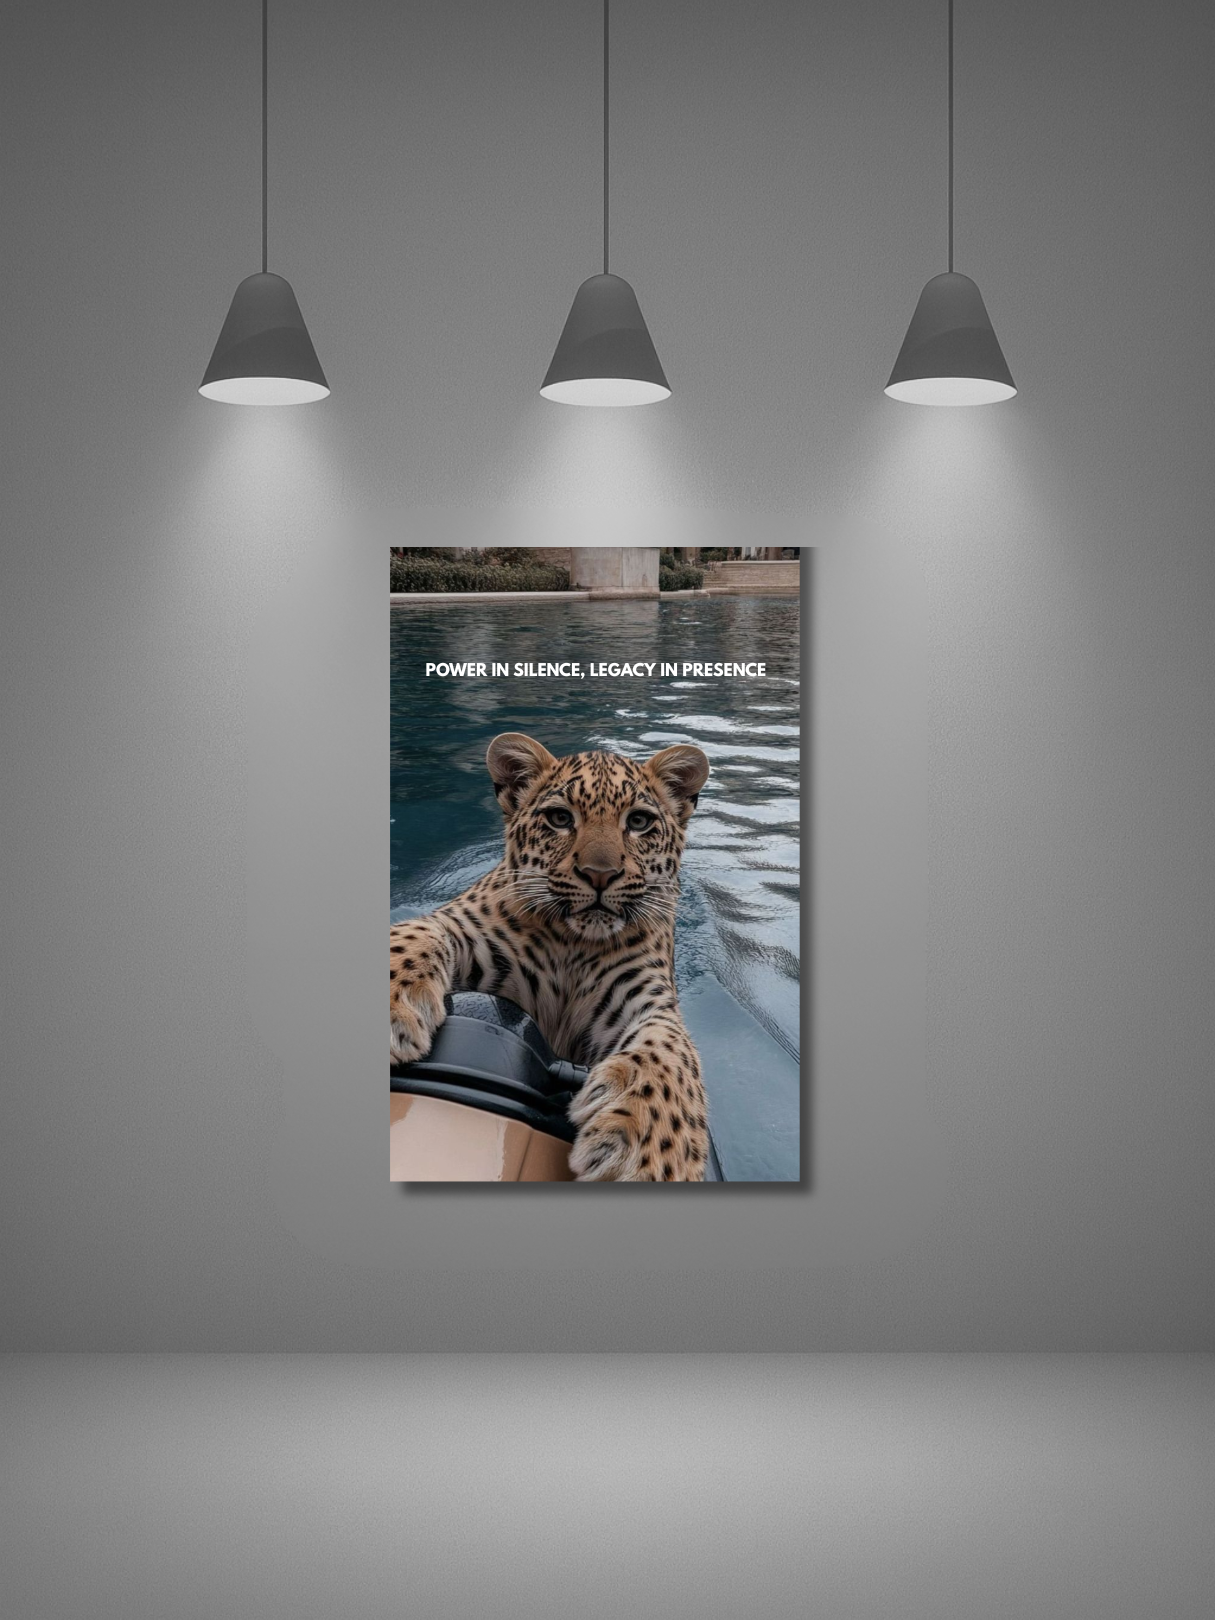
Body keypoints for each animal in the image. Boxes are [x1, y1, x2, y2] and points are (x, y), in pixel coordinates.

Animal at [390, 732, 712, 1181]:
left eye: (638, 822)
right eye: (560, 818)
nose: (600, 874)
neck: (574, 945)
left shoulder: (646, 995)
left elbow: (672, 1050)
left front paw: (650, 1152)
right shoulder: (464, 928)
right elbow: (418, 932)